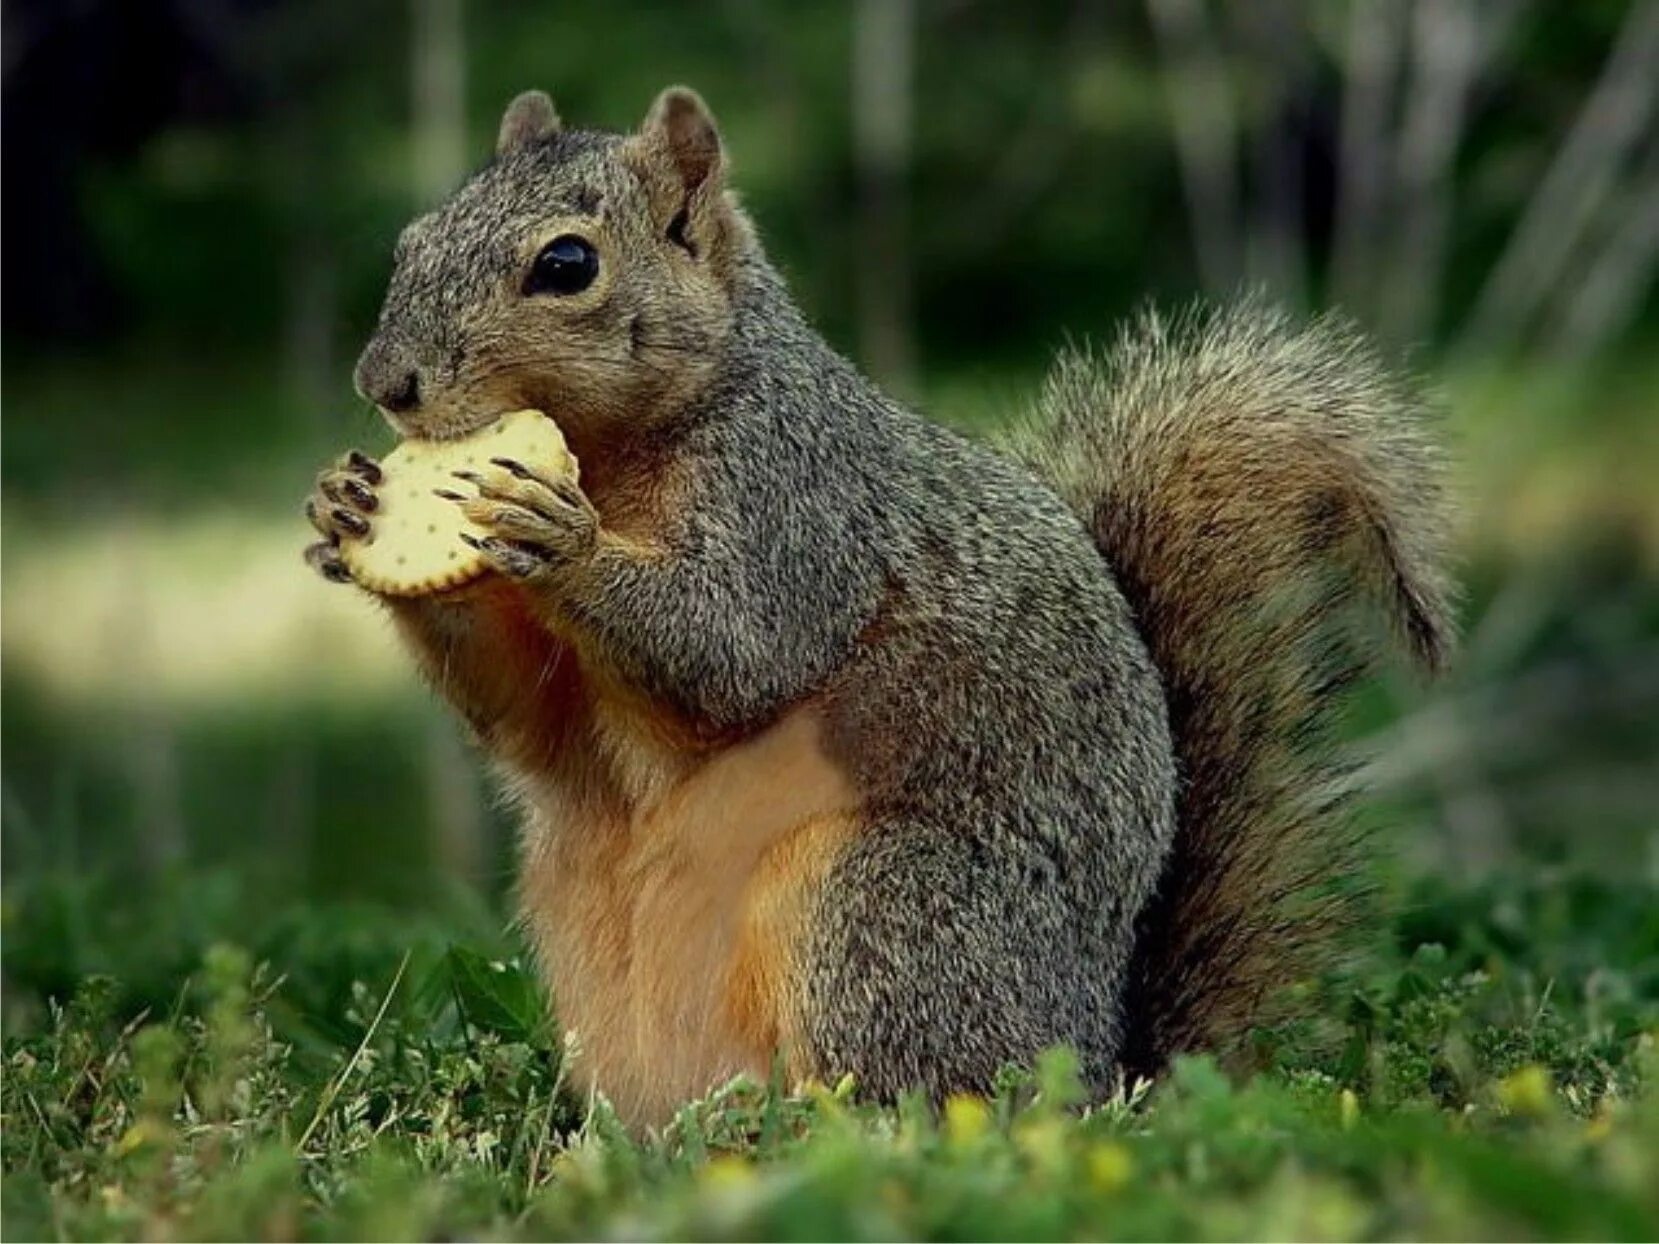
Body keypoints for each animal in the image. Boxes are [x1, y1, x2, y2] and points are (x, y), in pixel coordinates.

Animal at [301, 87, 1453, 1127]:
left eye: (567, 265)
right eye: (411, 241)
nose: (383, 382)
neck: (615, 455)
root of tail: (1102, 1061)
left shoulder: (797, 504)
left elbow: (735, 649)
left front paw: (558, 535)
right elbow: (525, 717)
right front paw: (346, 505)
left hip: (877, 910)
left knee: (921, 1092)